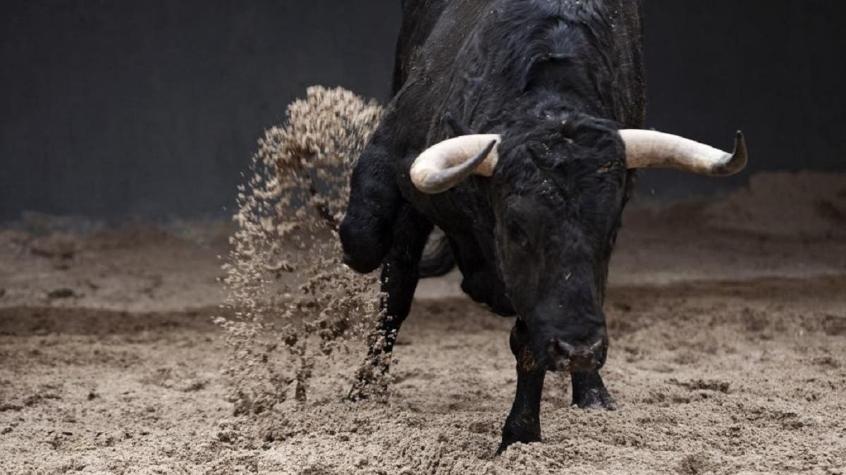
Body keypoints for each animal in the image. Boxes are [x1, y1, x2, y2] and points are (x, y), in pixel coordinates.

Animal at [338, 0, 748, 454]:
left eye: (611, 233)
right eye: (517, 230)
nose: (579, 348)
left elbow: (528, 339)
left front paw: (521, 434)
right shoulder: (393, 161)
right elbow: (372, 255)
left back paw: (592, 393)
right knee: (393, 278)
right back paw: (367, 390)